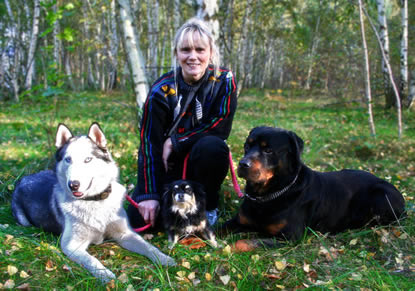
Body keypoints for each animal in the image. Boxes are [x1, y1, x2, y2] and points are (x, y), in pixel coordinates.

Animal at [12, 122, 176, 282]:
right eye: (68, 159)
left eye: (88, 159)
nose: (73, 184)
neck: (95, 201)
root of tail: (24, 178)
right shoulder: (71, 245)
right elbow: (92, 260)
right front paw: (105, 275)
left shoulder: (125, 234)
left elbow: (149, 247)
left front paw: (164, 259)